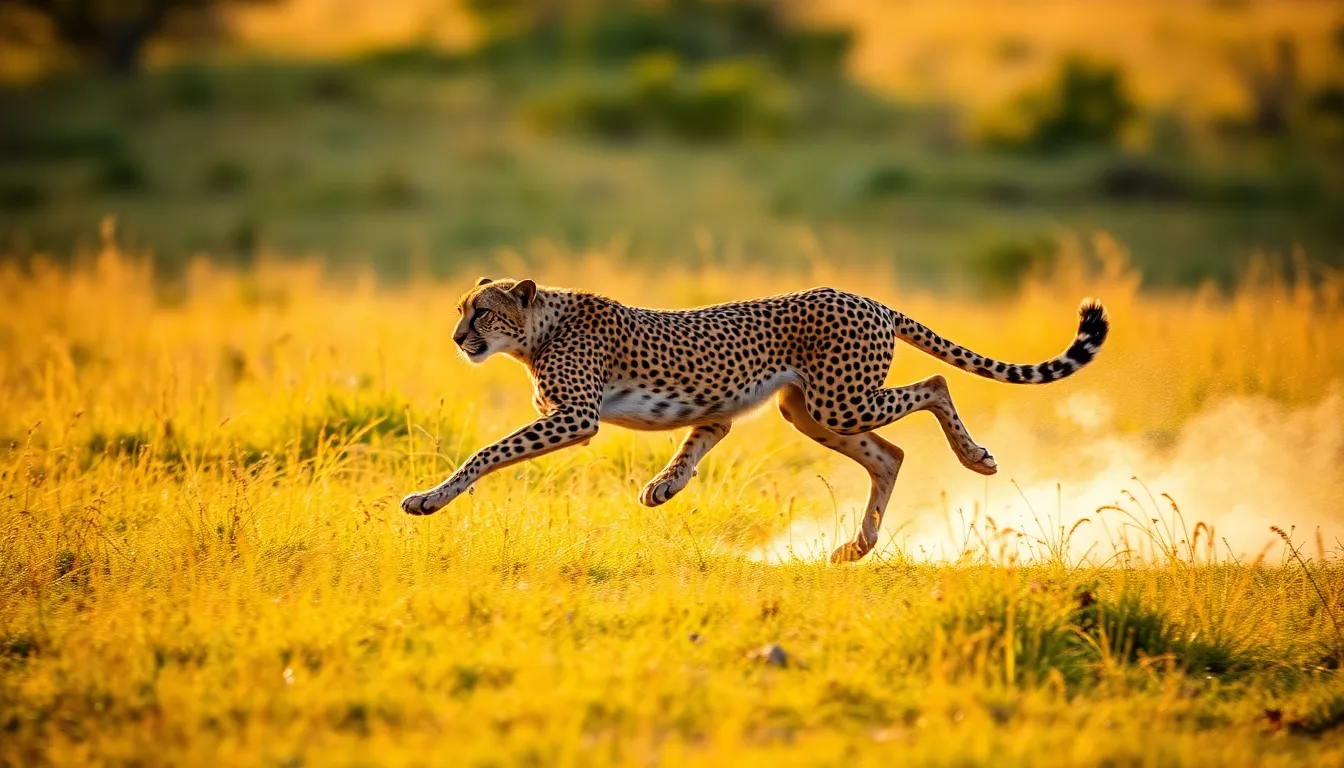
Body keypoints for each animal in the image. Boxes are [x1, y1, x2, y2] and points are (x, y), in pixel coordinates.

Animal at [400, 277, 1109, 563]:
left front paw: (428, 499)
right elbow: (695, 445)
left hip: (840, 399)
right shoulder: (714, 411)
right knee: (889, 454)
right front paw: (664, 487)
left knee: (935, 385)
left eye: (481, 312)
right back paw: (855, 548)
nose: (458, 339)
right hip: (810, 410)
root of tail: (866, 298)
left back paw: (975, 457)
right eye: (461, 309)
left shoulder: (575, 418)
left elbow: (486, 453)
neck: (539, 327)